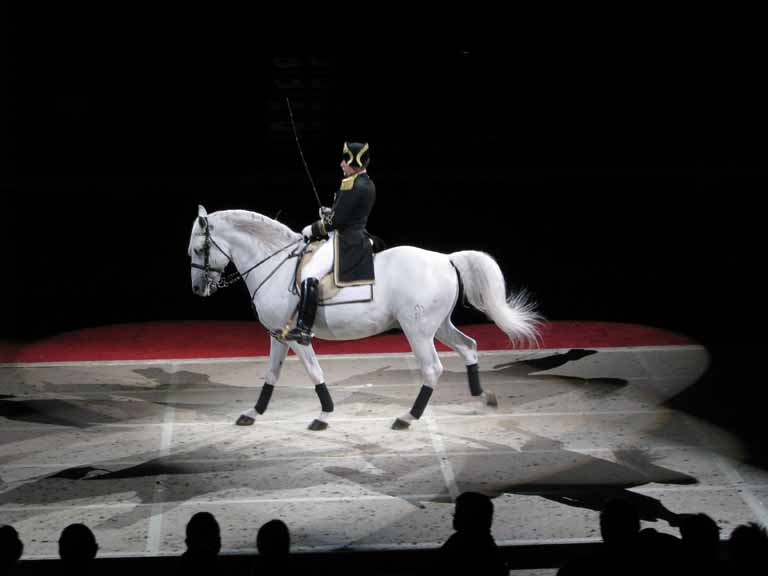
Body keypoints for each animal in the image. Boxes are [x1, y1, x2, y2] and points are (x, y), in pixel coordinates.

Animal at [188, 205, 536, 430]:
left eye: (196, 250)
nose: (197, 289)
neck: (276, 264)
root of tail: (447, 258)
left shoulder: (297, 339)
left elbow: (314, 372)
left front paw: (324, 415)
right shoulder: (278, 334)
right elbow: (271, 374)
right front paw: (253, 413)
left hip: (418, 330)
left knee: (433, 368)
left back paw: (407, 417)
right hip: (440, 325)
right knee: (469, 347)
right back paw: (483, 396)